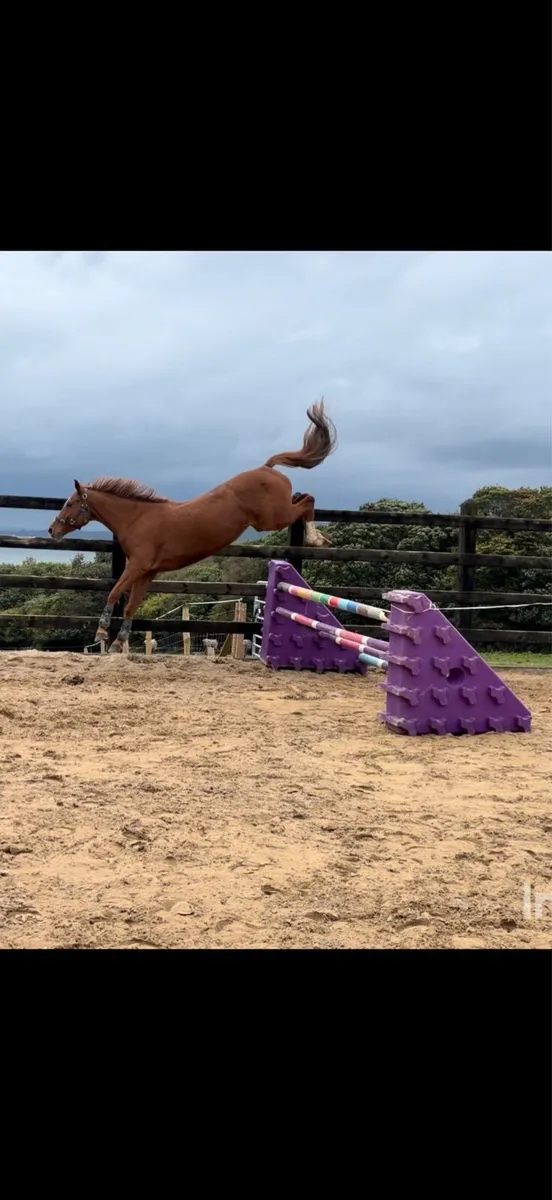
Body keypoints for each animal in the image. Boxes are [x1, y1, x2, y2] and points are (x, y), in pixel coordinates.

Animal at [48, 400, 337, 654]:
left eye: (70, 503)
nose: (52, 530)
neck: (137, 518)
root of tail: (268, 468)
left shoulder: (137, 567)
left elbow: (113, 593)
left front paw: (101, 634)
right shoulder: (146, 572)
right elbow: (130, 606)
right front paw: (118, 644)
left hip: (271, 519)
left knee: (307, 501)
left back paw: (317, 539)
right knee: (305, 499)